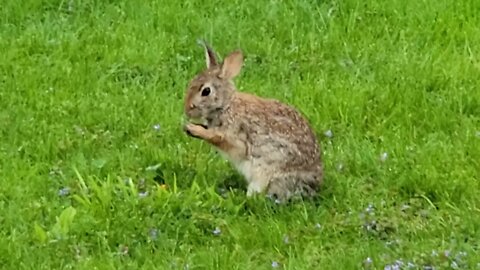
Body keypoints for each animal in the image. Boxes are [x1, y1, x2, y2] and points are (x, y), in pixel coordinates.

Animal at [183, 40, 322, 200]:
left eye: (206, 91)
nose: (187, 109)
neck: (227, 105)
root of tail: (313, 186)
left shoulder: (236, 136)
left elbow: (219, 139)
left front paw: (192, 129)